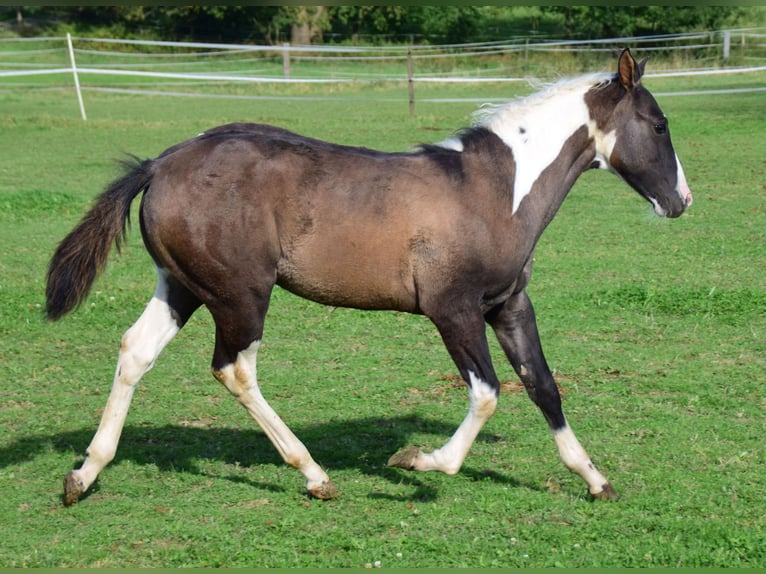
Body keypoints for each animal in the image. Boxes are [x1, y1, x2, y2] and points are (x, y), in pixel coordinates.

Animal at [48, 50, 696, 508]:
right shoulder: (452, 309)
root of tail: (160, 163)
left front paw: (595, 479)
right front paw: (418, 461)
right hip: (241, 295)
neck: (494, 192)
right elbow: (487, 394)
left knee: (136, 351)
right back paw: (314, 475)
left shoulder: (509, 306)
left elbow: (543, 386)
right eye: (659, 125)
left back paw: (84, 473)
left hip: (182, 286)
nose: (682, 201)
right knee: (235, 368)